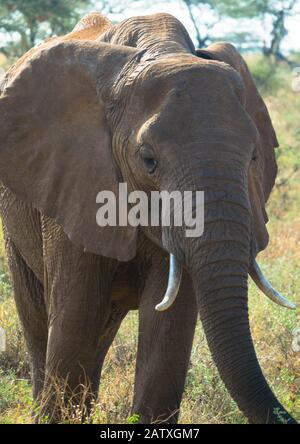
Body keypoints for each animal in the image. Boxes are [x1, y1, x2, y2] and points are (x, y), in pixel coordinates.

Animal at [0, 12, 296, 424]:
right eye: (148, 160)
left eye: (254, 156)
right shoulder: (72, 178)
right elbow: (77, 313)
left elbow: (169, 323)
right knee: (40, 314)